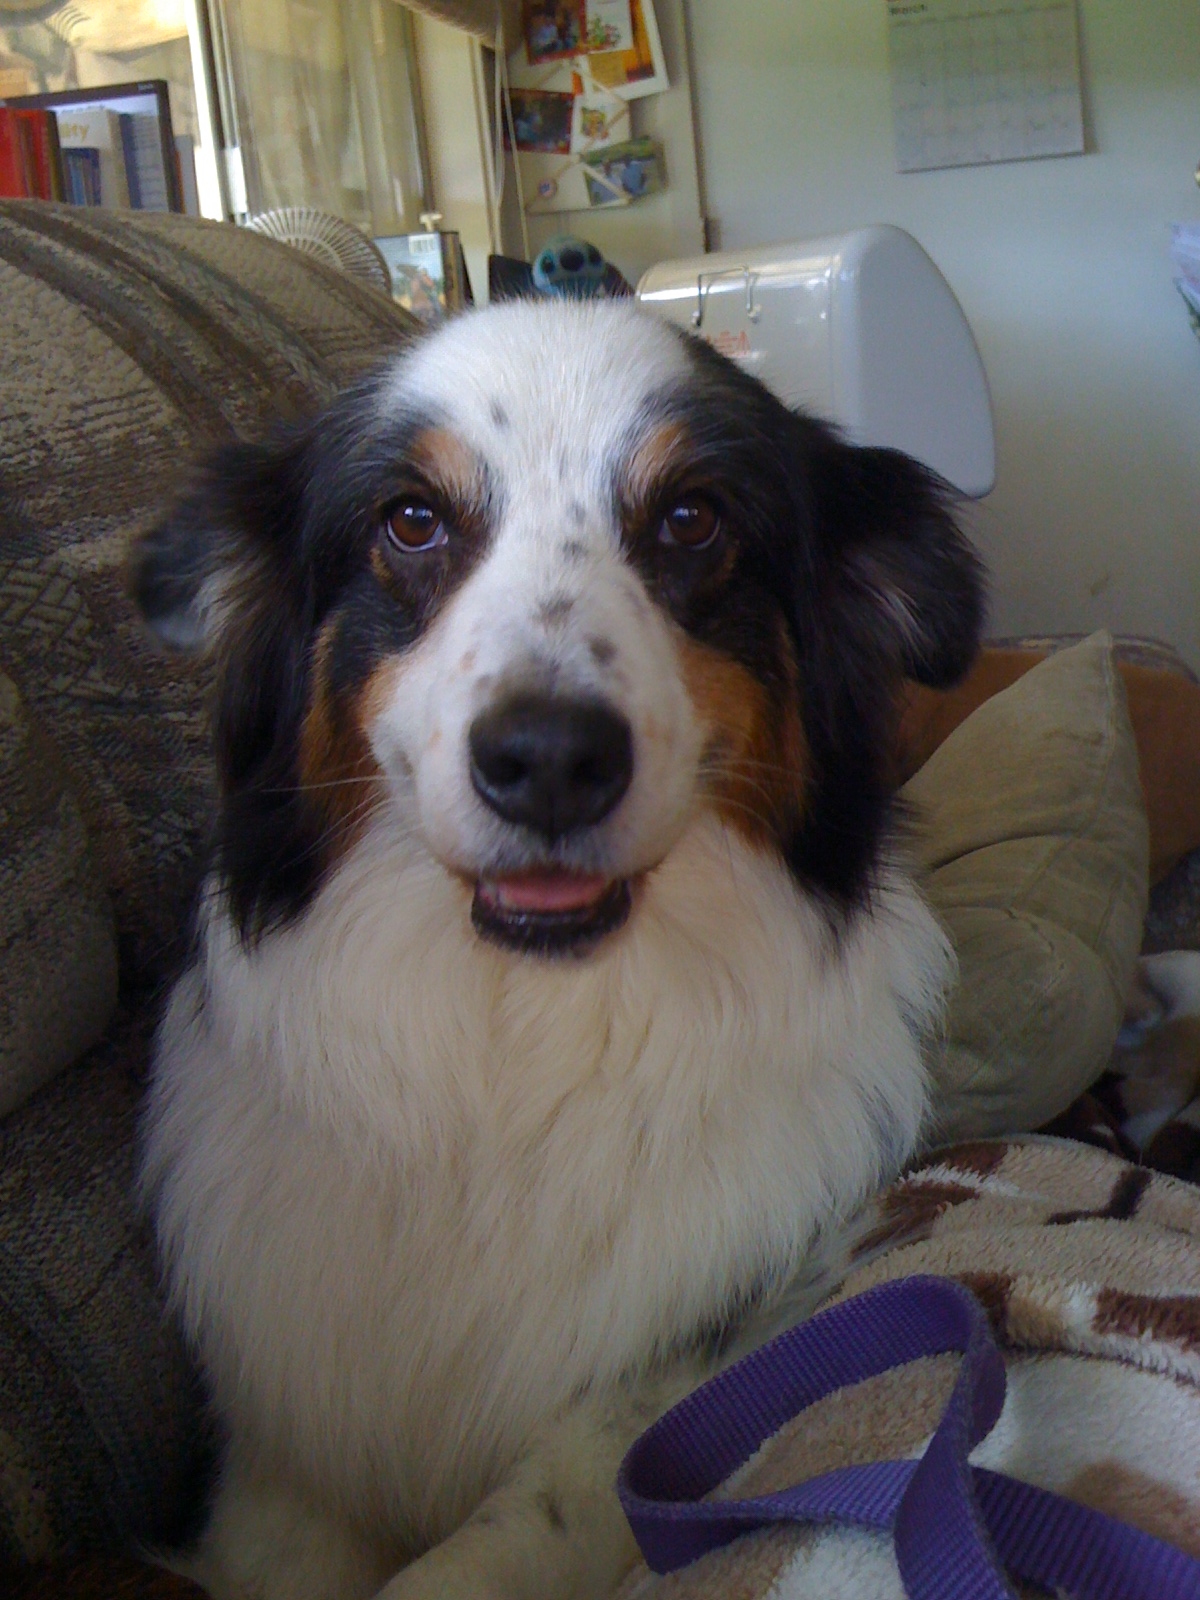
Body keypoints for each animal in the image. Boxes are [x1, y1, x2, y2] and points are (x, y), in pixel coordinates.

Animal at [131, 297, 983, 1600]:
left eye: (690, 517)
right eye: (411, 521)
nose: (547, 759)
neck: (516, 1054)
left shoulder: (661, 1387)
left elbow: (509, 1528)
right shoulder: (285, 1461)